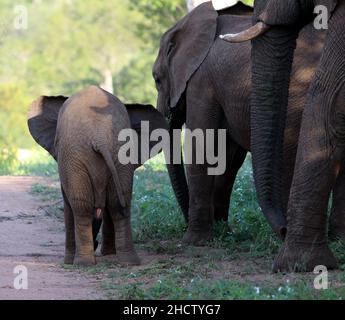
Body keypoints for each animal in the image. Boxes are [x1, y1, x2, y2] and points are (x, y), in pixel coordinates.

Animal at [27, 86, 167, 266]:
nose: (96, 243)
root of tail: (99, 136)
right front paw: (107, 253)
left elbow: (69, 204)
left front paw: (68, 261)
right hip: (120, 154)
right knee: (119, 204)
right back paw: (129, 261)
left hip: (76, 156)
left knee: (81, 206)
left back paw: (83, 263)